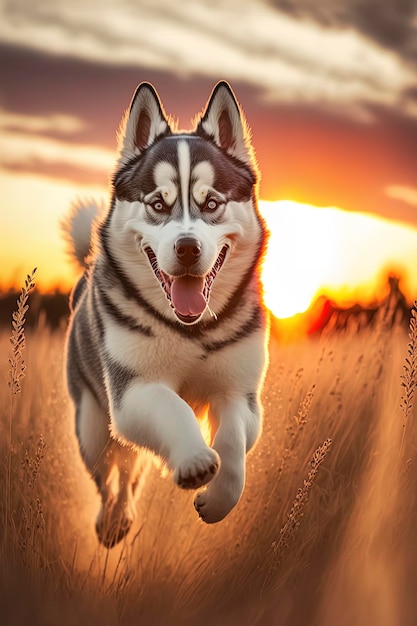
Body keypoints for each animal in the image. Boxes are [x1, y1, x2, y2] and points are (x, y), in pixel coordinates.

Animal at [63, 81, 268, 544]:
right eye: (158, 204)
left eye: (211, 204)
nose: (187, 248)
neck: (191, 331)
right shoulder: (133, 392)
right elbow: (173, 408)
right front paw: (193, 458)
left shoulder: (240, 393)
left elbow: (232, 440)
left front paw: (219, 498)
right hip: (92, 427)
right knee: (109, 476)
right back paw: (112, 520)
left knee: (130, 472)